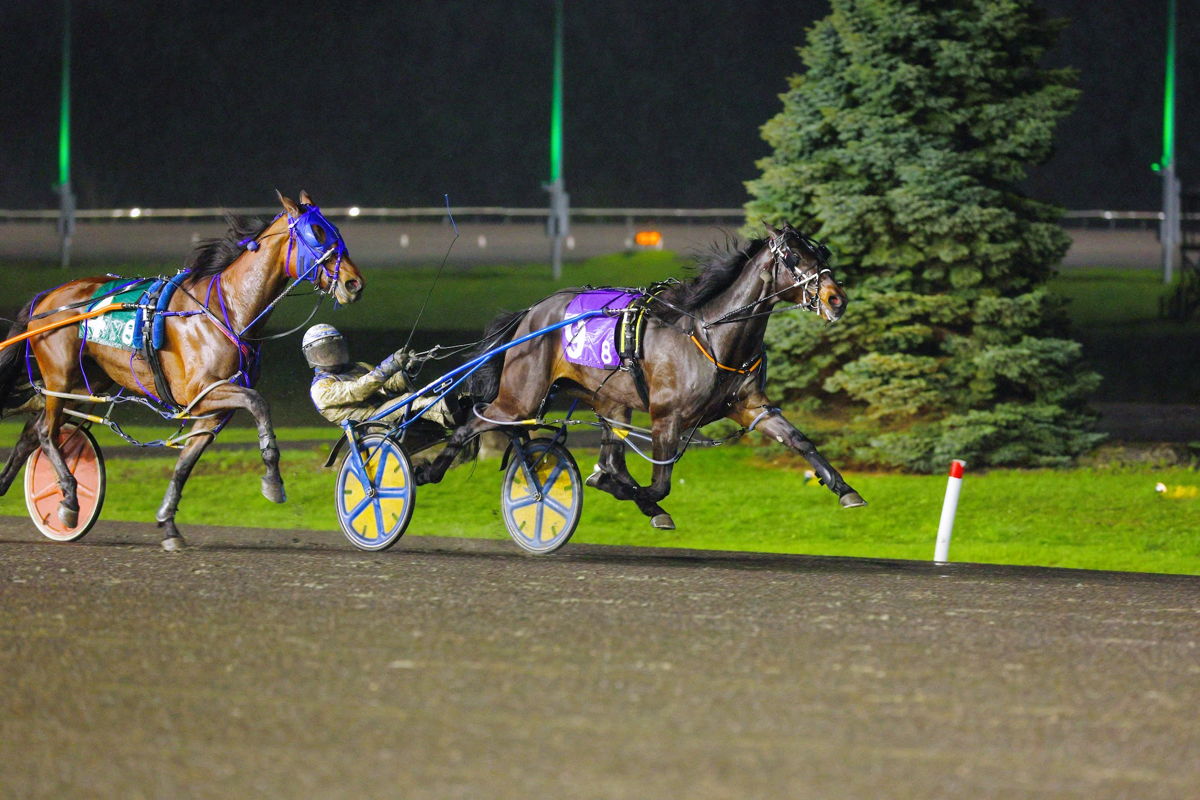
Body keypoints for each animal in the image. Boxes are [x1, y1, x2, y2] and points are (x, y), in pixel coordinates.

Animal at [0, 190, 362, 546]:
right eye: (317, 232)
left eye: (335, 229)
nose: (354, 284)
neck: (226, 309)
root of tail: (45, 298)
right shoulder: (202, 391)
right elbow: (258, 403)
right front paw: (274, 481)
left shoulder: (211, 408)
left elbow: (186, 462)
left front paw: (169, 524)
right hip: (60, 376)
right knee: (45, 432)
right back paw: (70, 500)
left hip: (85, 384)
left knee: (30, 434)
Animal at [417, 224, 868, 525]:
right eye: (794, 259)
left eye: (822, 255)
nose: (836, 299)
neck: (712, 334)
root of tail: (532, 311)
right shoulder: (666, 417)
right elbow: (658, 483)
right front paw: (629, 493)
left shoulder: (750, 407)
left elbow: (799, 440)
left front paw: (845, 489)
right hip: (521, 397)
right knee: (473, 423)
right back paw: (426, 471)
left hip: (609, 400)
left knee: (610, 454)